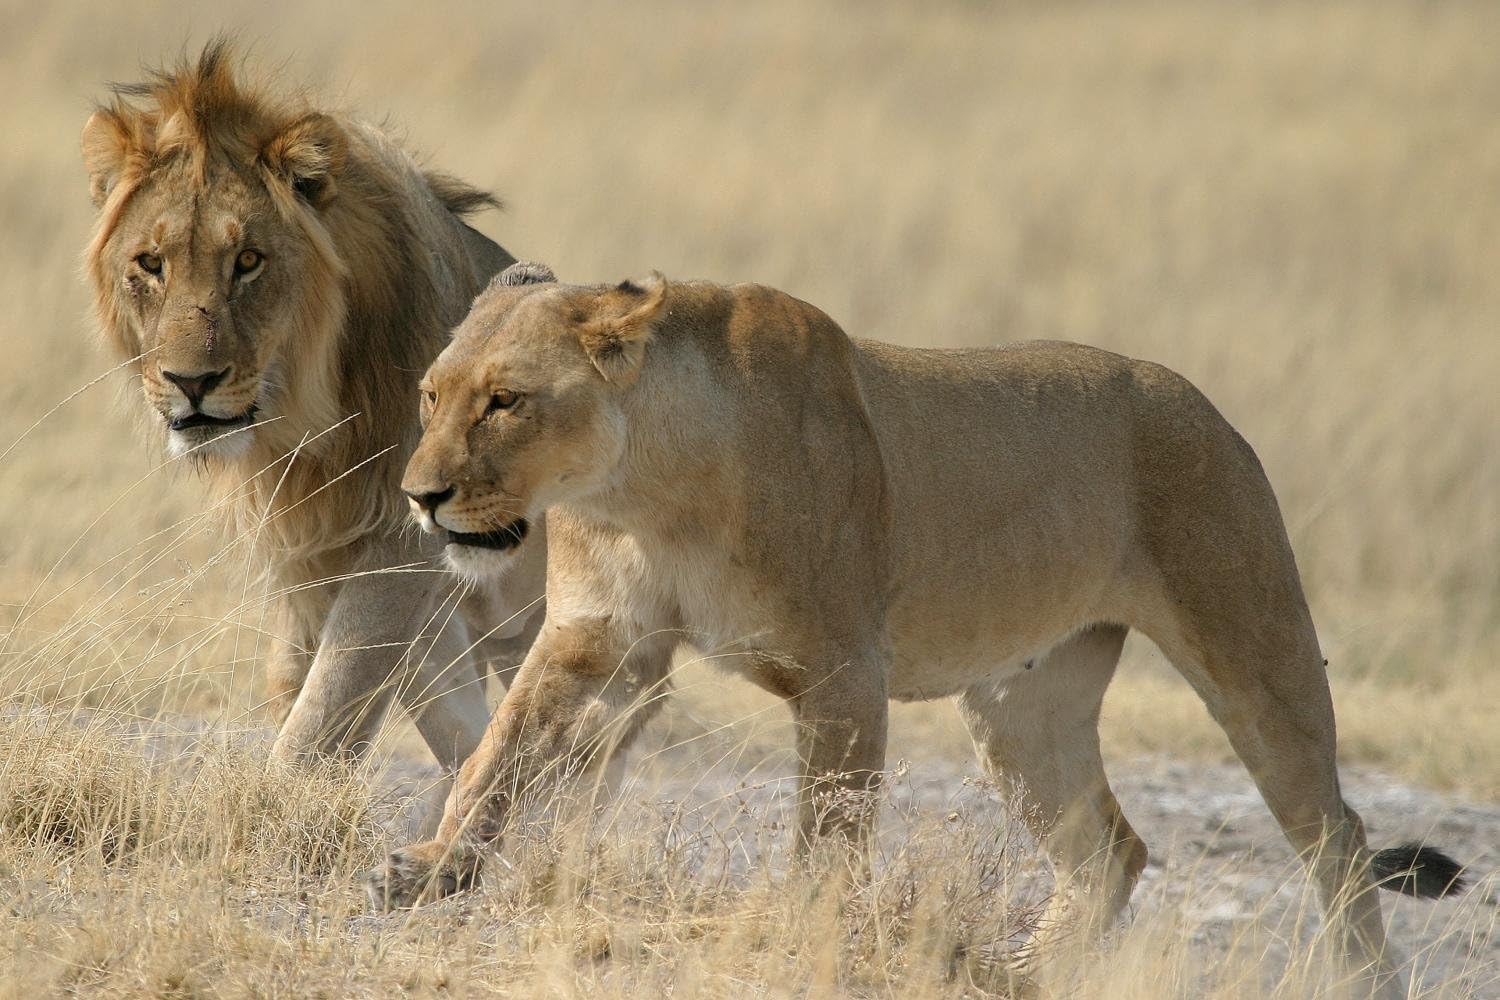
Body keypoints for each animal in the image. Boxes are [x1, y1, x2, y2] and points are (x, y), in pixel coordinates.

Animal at [80, 41, 547, 772]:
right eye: (150, 263)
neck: (310, 417)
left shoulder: (404, 538)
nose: (191, 382)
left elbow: (330, 703)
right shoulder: (305, 549)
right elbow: (302, 683)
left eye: (248, 260)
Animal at [362, 263, 1466, 993]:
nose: (420, 495)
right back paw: (1017, 972)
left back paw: (1360, 977)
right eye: (430, 394)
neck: (647, 490)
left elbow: (829, 832)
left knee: (1336, 835)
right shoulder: (596, 640)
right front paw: (432, 866)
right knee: (1109, 850)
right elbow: (497, 758)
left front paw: (799, 937)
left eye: (506, 401)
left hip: (1253, 648)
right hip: (1022, 709)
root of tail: (1203, 403)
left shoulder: (843, 672)